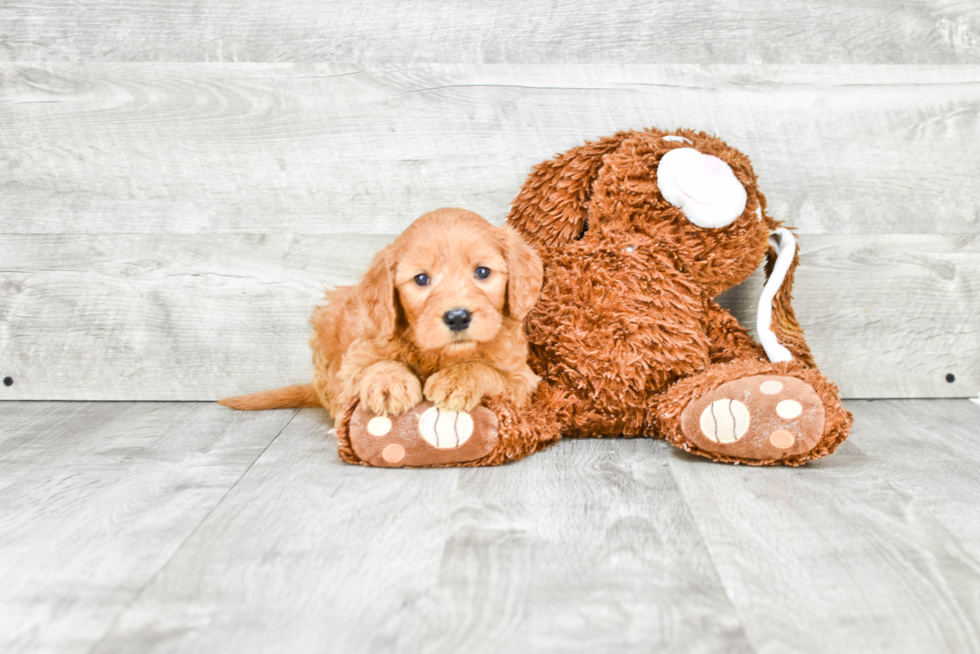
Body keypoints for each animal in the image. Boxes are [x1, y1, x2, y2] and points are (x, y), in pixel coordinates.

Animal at [216, 209, 544, 420]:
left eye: (482, 272)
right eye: (421, 279)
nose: (458, 317)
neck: (439, 354)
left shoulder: (521, 378)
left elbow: (486, 370)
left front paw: (458, 380)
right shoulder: (351, 368)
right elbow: (376, 365)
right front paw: (388, 384)